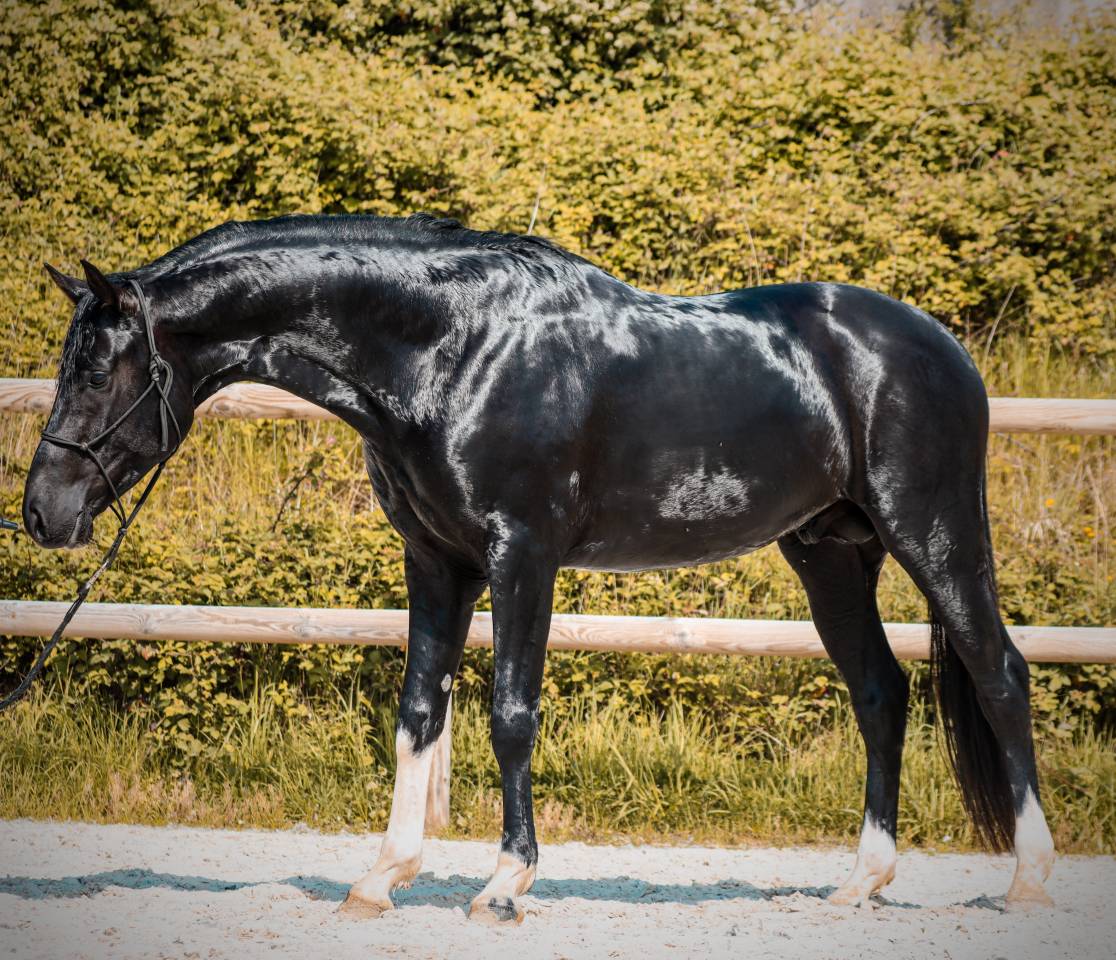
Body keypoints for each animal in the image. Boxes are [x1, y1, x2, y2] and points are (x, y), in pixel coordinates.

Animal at [25, 213, 1055, 922]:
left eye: (98, 371)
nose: (44, 512)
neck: (452, 347)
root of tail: (939, 344)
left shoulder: (523, 553)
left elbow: (509, 714)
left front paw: (504, 884)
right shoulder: (437, 561)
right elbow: (418, 712)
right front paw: (382, 878)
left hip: (934, 532)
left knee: (1000, 675)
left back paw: (1030, 879)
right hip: (831, 554)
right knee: (880, 693)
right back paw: (861, 883)